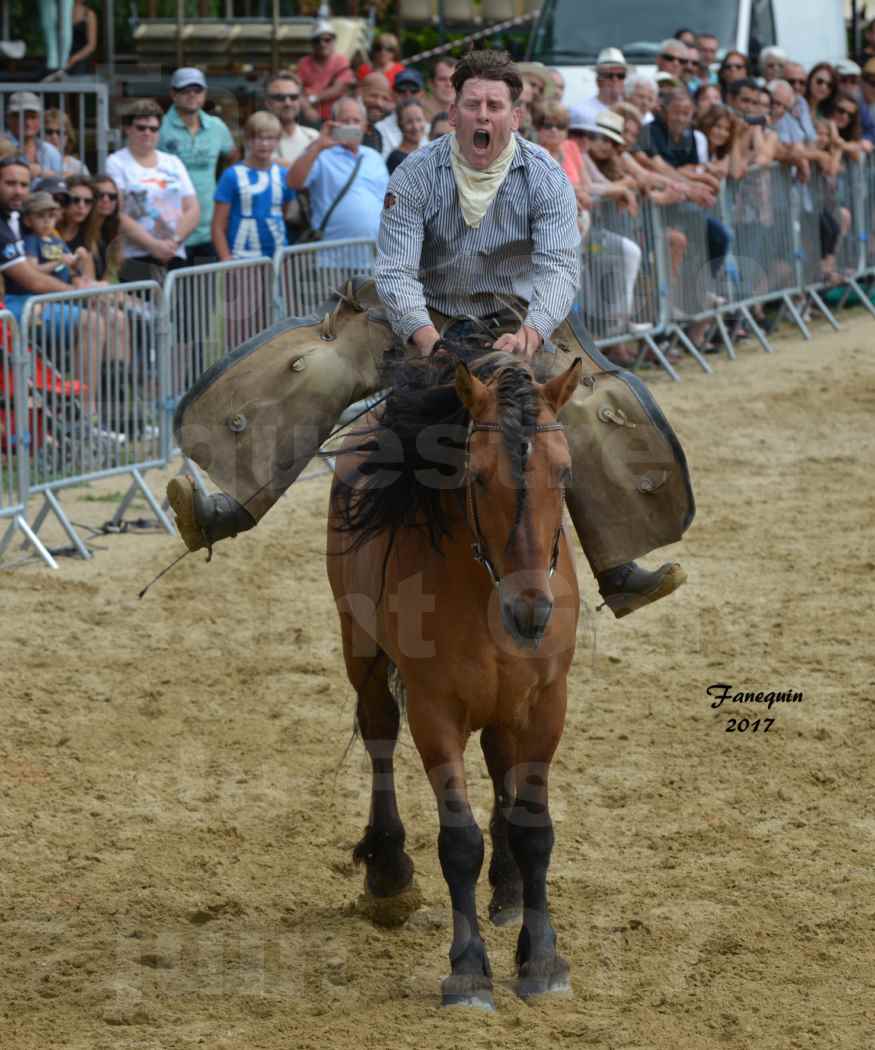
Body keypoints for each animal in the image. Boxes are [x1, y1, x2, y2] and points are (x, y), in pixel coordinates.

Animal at [325, 348, 579, 1003]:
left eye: (565, 474)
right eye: (477, 477)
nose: (531, 612)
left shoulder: (547, 702)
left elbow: (535, 829)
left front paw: (542, 958)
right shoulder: (434, 710)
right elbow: (459, 842)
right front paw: (468, 968)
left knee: (498, 758)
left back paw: (508, 889)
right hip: (360, 647)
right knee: (379, 732)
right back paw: (389, 874)